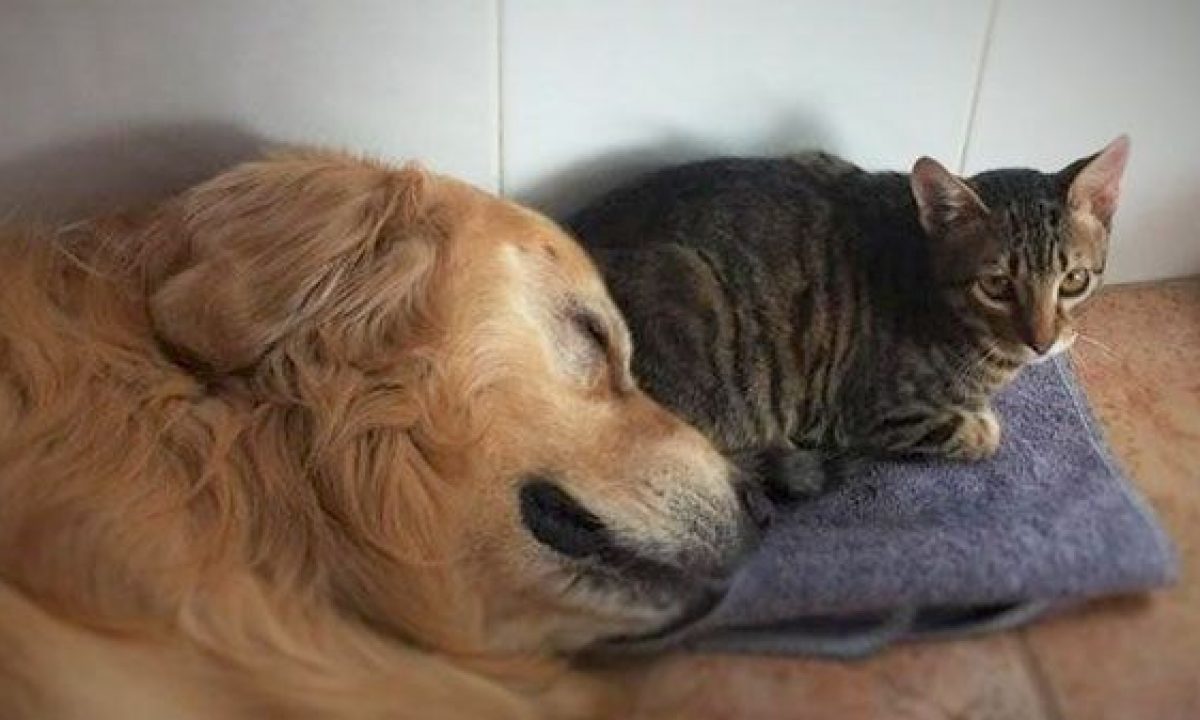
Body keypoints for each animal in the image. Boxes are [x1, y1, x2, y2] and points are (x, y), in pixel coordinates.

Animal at [566, 137, 1129, 492]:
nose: (1043, 342)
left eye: (1074, 280)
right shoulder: (874, 413)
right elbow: (977, 434)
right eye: (996, 285)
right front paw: (982, 425)